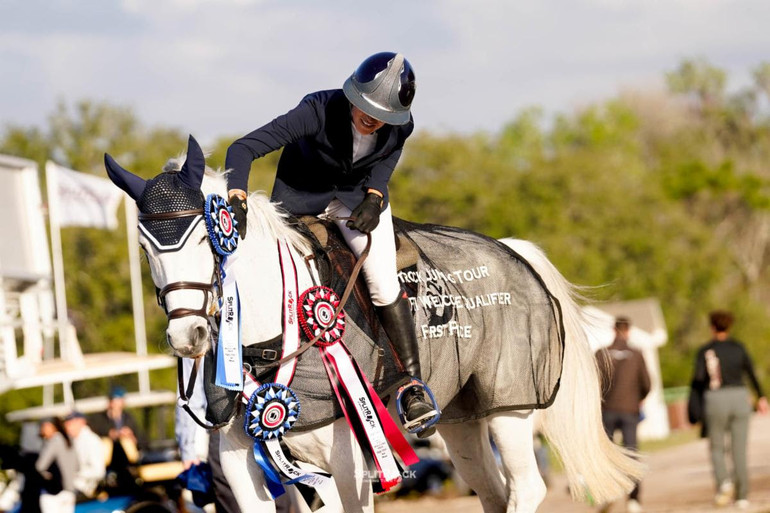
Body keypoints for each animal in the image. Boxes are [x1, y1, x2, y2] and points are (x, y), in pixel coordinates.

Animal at [102, 137, 640, 512]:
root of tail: (512, 250)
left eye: (202, 239)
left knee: (525, 489)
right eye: (145, 248)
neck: (270, 346)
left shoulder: (348, 464)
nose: (186, 336)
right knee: (492, 491)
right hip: (463, 420)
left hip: (511, 409)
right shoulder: (246, 464)